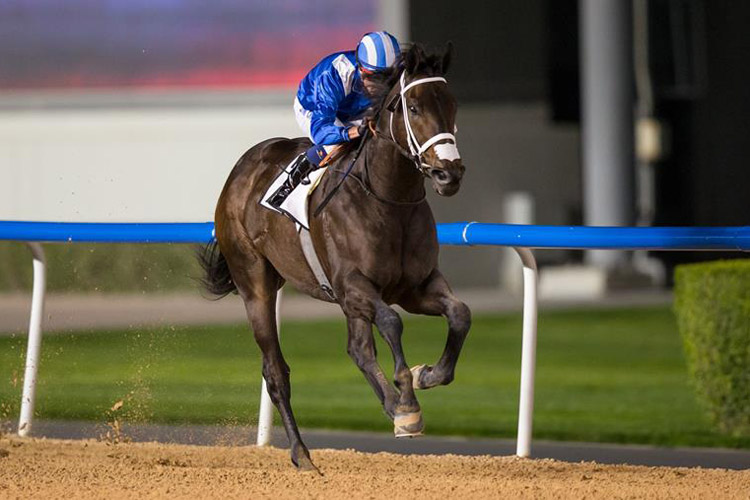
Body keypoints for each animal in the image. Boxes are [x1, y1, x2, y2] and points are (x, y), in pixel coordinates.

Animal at [200, 44, 470, 472]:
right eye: (412, 106)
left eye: (451, 103)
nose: (449, 173)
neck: (387, 198)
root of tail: (241, 169)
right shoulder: (353, 285)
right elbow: (392, 322)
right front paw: (408, 398)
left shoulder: (415, 286)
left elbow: (460, 313)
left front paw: (425, 377)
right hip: (255, 282)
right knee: (275, 370)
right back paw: (303, 454)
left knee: (358, 349)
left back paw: (391, 406)